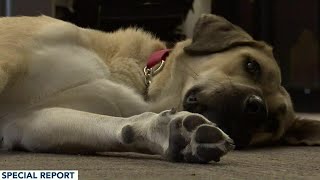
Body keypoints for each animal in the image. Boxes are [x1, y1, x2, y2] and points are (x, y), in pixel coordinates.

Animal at [0, 14, 318, 163]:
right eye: (252, 65)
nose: (256, 107)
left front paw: (171, 133)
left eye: (272, 122)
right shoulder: (9, 57)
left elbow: (117, 126)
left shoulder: (27, 122)